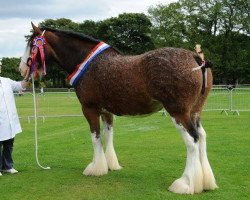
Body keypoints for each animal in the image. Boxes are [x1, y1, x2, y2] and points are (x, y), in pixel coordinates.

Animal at [19, 23, 217, 194]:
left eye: (32, 44)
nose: (21, 68)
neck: (88, 63)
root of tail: (196, 58)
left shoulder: (89, 109)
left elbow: (95, 137)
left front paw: (96, 168)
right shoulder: (107, 111)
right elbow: (108, 135)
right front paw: (111, 165)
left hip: (178, 113)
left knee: (192, 141)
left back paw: (185, 184)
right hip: (195, 112)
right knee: (202, 137)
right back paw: (205, 182)